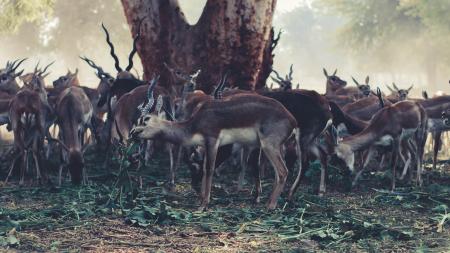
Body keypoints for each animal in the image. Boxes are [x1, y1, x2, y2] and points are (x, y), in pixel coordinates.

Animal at [130, 90, 298, 211]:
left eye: (145, 119)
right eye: (137, 119)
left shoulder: (212, 141)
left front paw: (204, 204)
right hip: (272, 148)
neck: (194, 125)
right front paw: (201, 200)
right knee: (277, 173)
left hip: (269, 146)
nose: (132, 133)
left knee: (283, 171)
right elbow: (205, 169)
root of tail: (292, 120)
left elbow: (209, 169)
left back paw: (270, 206)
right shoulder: (205, 145)